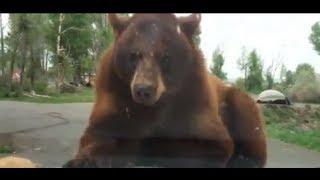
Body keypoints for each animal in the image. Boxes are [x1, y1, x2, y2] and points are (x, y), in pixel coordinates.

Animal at [62, 13, 268, 168]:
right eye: (133, 55)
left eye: (166, 57)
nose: (144, 89)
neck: (157, 104)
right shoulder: (115, 95)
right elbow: (99, 134)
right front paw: (82, 161)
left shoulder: (194, 100)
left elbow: (211, 143)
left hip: (236, 99)